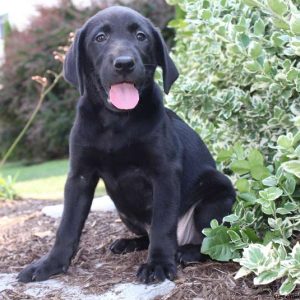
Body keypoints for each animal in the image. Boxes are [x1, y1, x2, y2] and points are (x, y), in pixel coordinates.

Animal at [17, 6, 236, 284]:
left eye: (141, 36)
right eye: (100, 38)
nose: (124, 63)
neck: (116, 121)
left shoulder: (164, 172)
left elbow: (163, 223)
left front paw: (158, 264)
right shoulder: (79, 176)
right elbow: (67, 225)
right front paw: (50, 264)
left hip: (215, 199)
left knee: (212, 241)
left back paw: (186, 252)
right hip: (123, 211)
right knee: (147, 235)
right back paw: (128, 243)